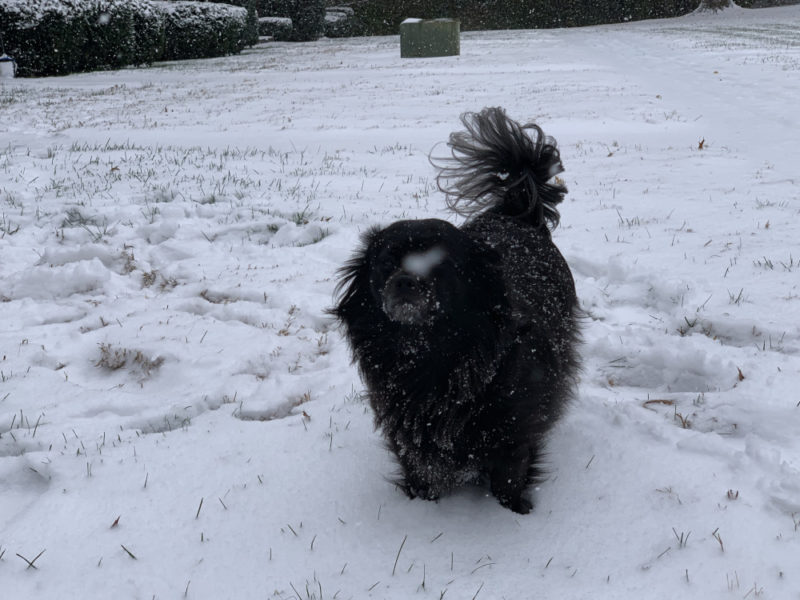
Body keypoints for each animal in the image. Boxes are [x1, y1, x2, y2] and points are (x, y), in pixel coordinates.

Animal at [332, 106, 580, 510]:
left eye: (441, 265)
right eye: (385, 263)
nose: (405, 279)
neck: (430, 355)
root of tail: (516, 214)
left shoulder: (514, 432)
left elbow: (509, 480)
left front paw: (517, 513)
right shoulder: (409, 434)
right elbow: (422, 475)